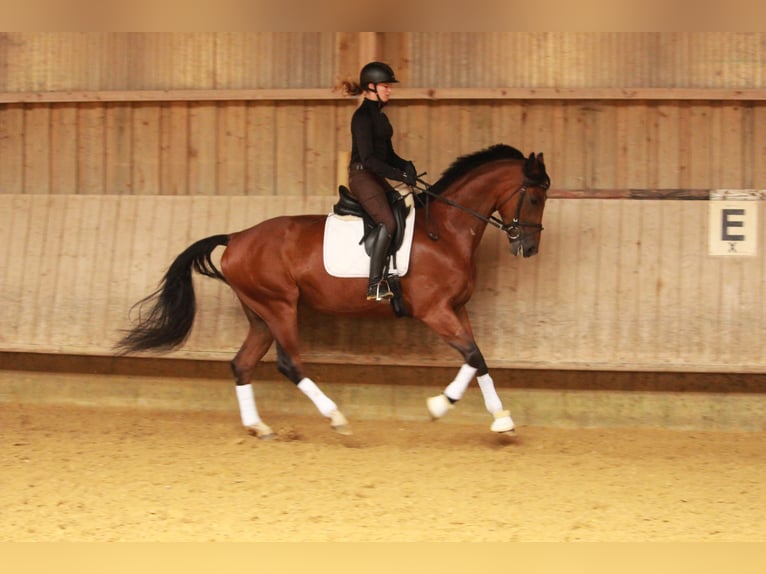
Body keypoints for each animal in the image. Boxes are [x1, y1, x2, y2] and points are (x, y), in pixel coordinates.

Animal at [115, 144, 551, 439]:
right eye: (534, 196)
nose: (529, 248)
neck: (445, 230)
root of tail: (237, 237)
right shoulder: (435, 311)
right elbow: (473, 356)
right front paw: (439, 406)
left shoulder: (457, 309)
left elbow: (478, 360)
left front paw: (500, 418)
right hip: (280, 307)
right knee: (290, 364)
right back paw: (336, 417)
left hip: (260, 314)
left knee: (242, 364)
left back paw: (258, 427)